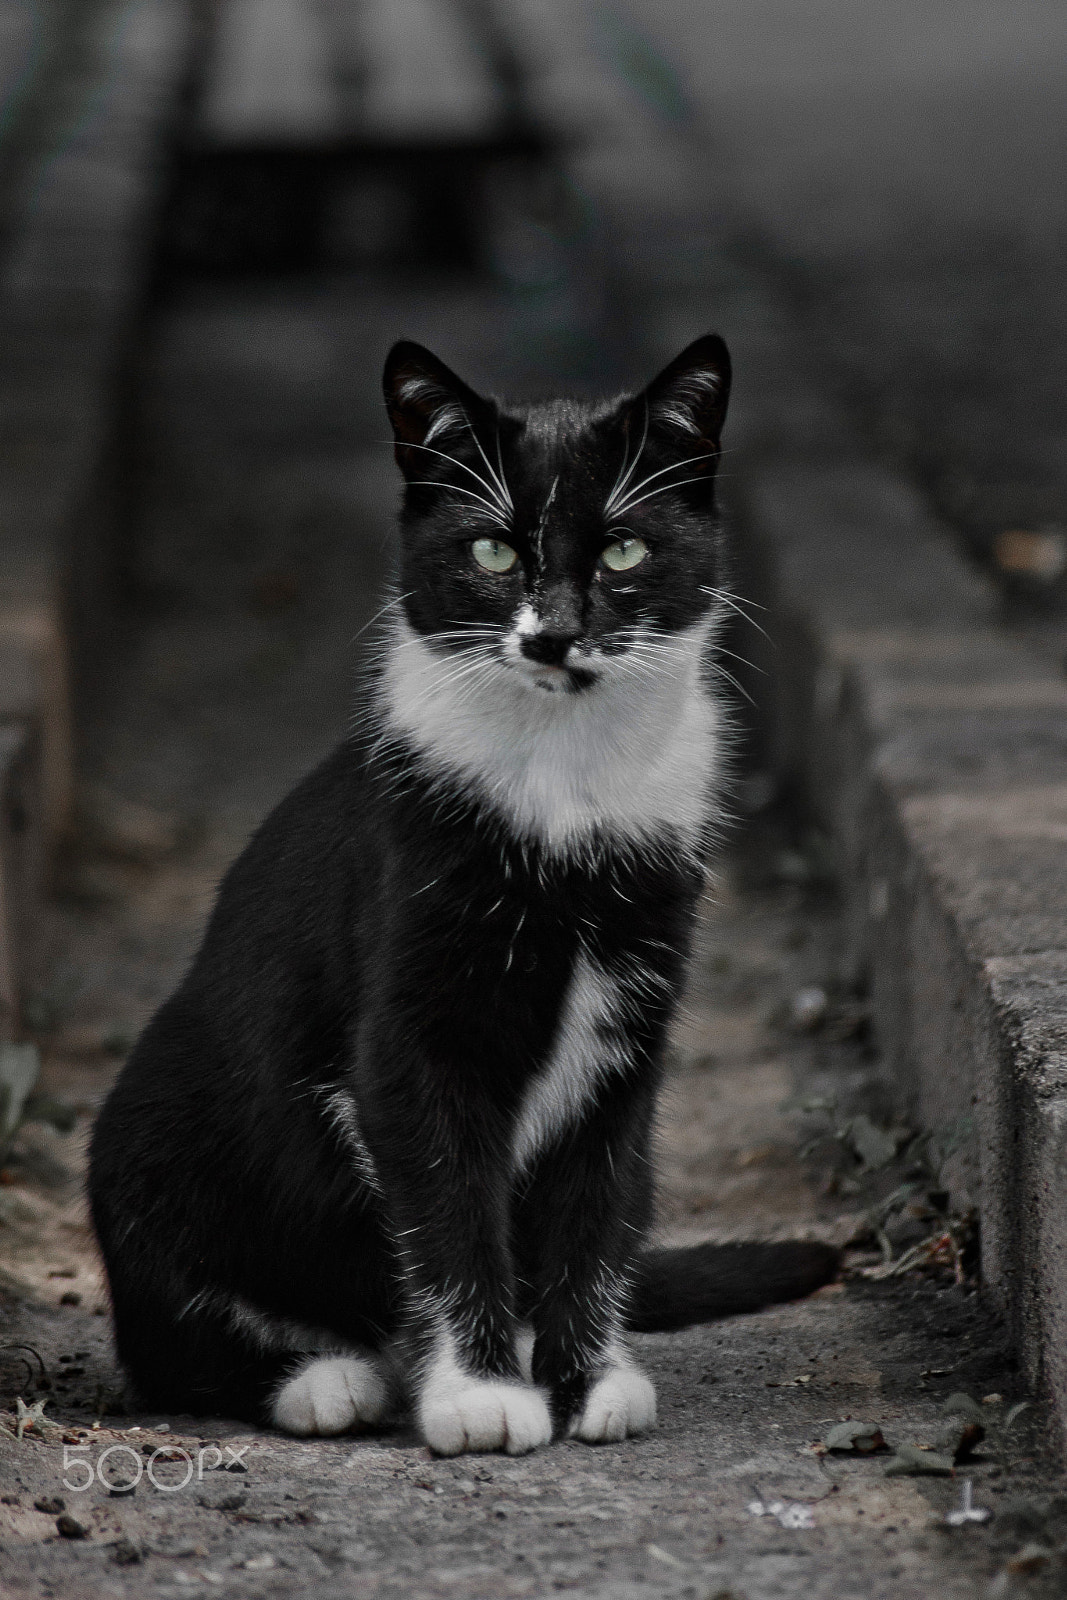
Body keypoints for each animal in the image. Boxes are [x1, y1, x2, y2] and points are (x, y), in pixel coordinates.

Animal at [87, 337, 838, 1452]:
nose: (552, 633)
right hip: (149, 1136)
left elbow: (593, 1202)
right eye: (490, 551)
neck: (564, 781)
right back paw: (324, 1377)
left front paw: (581, 1378)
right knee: (169, 1344)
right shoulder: (408, 1029)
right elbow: (445, 1205)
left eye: (622, 551)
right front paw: (482, 1393)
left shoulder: (632, 1017)